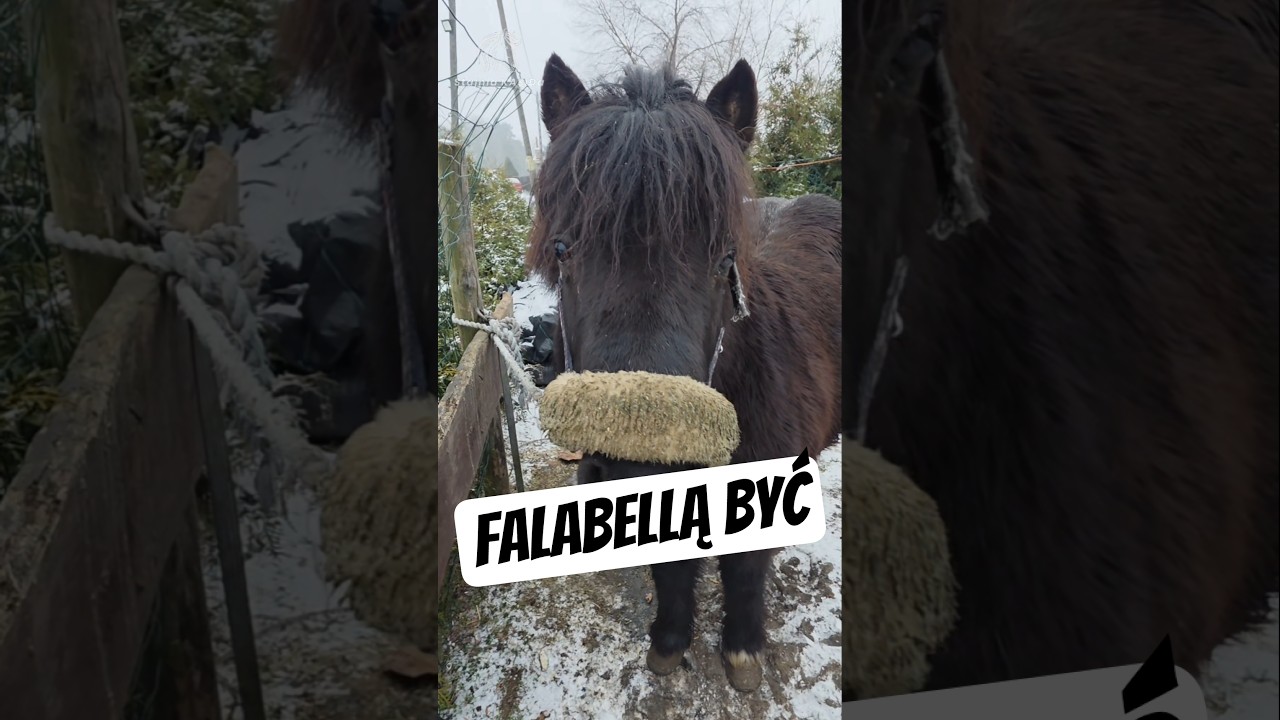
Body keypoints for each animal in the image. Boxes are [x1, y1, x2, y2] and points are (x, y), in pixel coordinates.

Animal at [528, 55, 843, 692]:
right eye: (564, 250)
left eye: (725, 259)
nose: (634, 463)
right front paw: (670, 641)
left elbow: (744, 573)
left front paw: (742, 650)